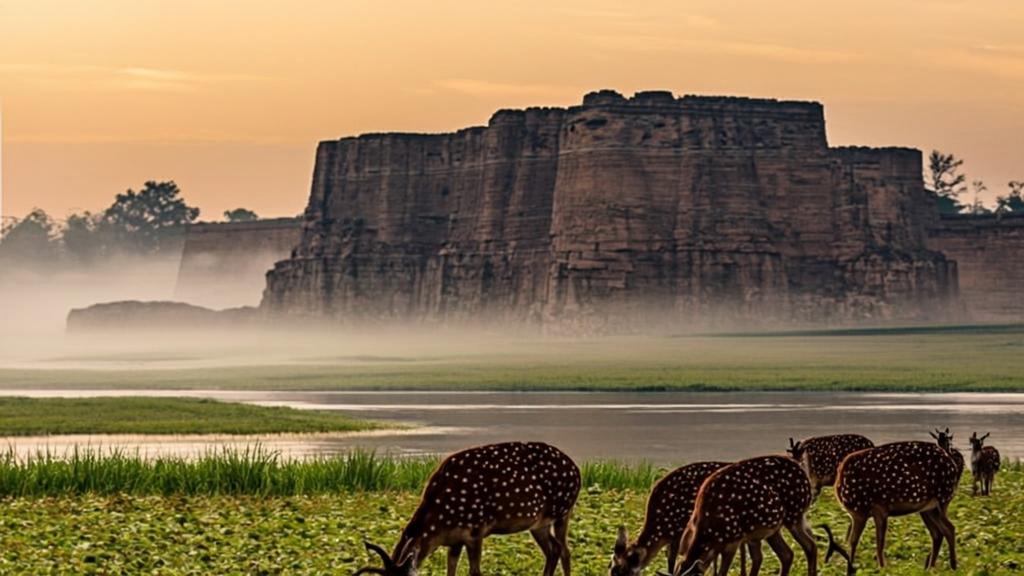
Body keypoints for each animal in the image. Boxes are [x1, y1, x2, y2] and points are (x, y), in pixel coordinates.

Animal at [354, 441, 581, 576]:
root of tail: (577, 469)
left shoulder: (476, 530)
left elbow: (475, 572)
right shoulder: (455, 540)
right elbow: (450, 570)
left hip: (563, 510)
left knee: (564, 550)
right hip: (539, 524)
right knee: (553, 550)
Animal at [669, 455, 818, 576]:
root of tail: (805, 476)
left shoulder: (734, 539)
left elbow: (723, 572)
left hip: (794, 514)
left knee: (810, 545)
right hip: (774, 527)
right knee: (787, 554)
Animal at [828, 441, 959, 574]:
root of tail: (952, 465)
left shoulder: (874, 509)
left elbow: (873, 542)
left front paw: (880, 568)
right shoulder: (861, 513)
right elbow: (856, 540)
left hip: (942, 498)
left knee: (949, 528)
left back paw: (952, 566)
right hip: (929, 509)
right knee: (938, 533)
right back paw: (931, 568)